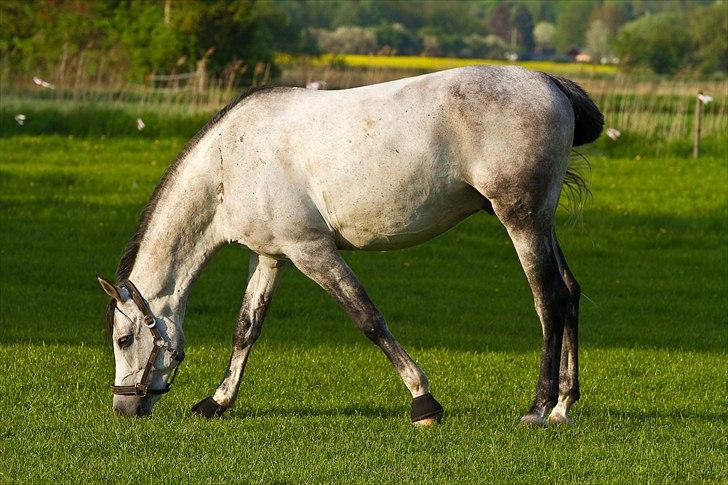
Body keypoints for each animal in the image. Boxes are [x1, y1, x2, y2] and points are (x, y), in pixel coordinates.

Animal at [99, 66, 604, 426]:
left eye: (123, 339)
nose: (124, 409)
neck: (230, 161)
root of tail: (549, 83)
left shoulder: (312, 252)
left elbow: (368, 318)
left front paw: (424, 403)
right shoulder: (271, 256)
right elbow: (246, 328)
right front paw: (218, 402)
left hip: (521, 220)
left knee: (549, 300)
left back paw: (538, 408)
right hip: (540, 223)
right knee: (571, 291)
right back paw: (563, 406)